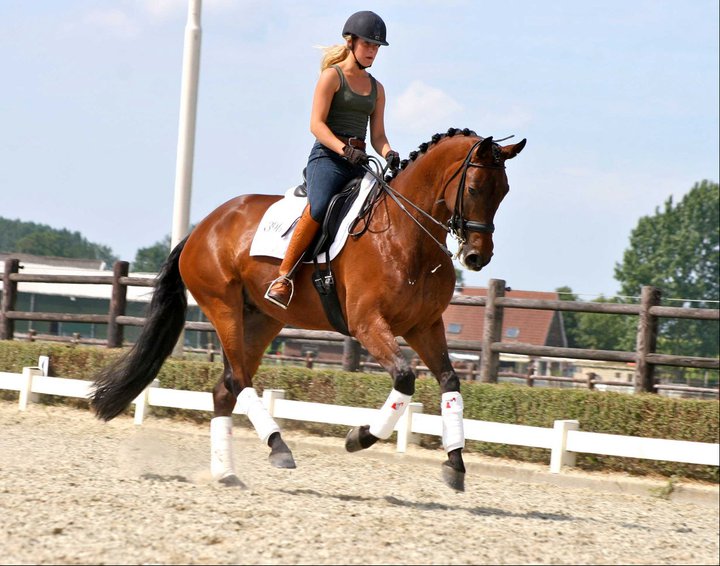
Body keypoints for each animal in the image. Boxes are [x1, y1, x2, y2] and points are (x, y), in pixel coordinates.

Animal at [90, 127, 526, 491]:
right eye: (474, 188)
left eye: (504, 192)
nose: (476, 257)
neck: (406, 233)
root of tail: (201, 229)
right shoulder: (368, 324)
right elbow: (404, 378)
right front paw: (360, 437)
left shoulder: (425, 326)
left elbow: (450, 383)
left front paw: (455, 465)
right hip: (222, 307)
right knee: (239, 380)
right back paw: (278, 448)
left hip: (262, 319)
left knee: (225, 388)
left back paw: (227, 473)